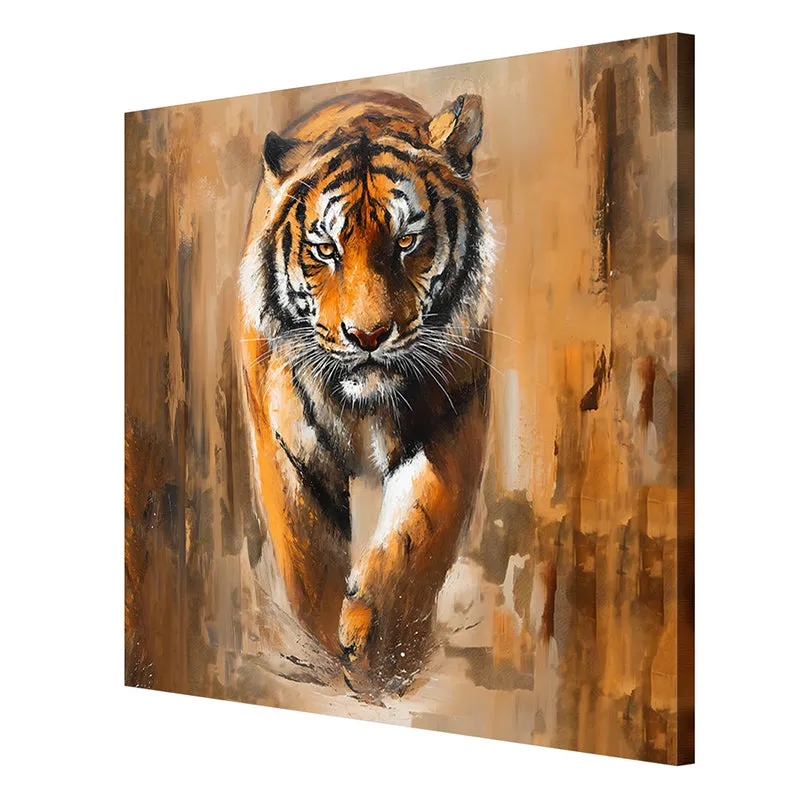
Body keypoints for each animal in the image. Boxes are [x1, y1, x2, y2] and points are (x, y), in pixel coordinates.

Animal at [238, 90, 494, 695]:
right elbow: (309, 557)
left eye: (407, 242)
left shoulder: (452, 422)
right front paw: (329, 652)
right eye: (325, 249)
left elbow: (416, 537)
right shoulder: (287, 448)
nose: (368, 336)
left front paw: (382, 652)